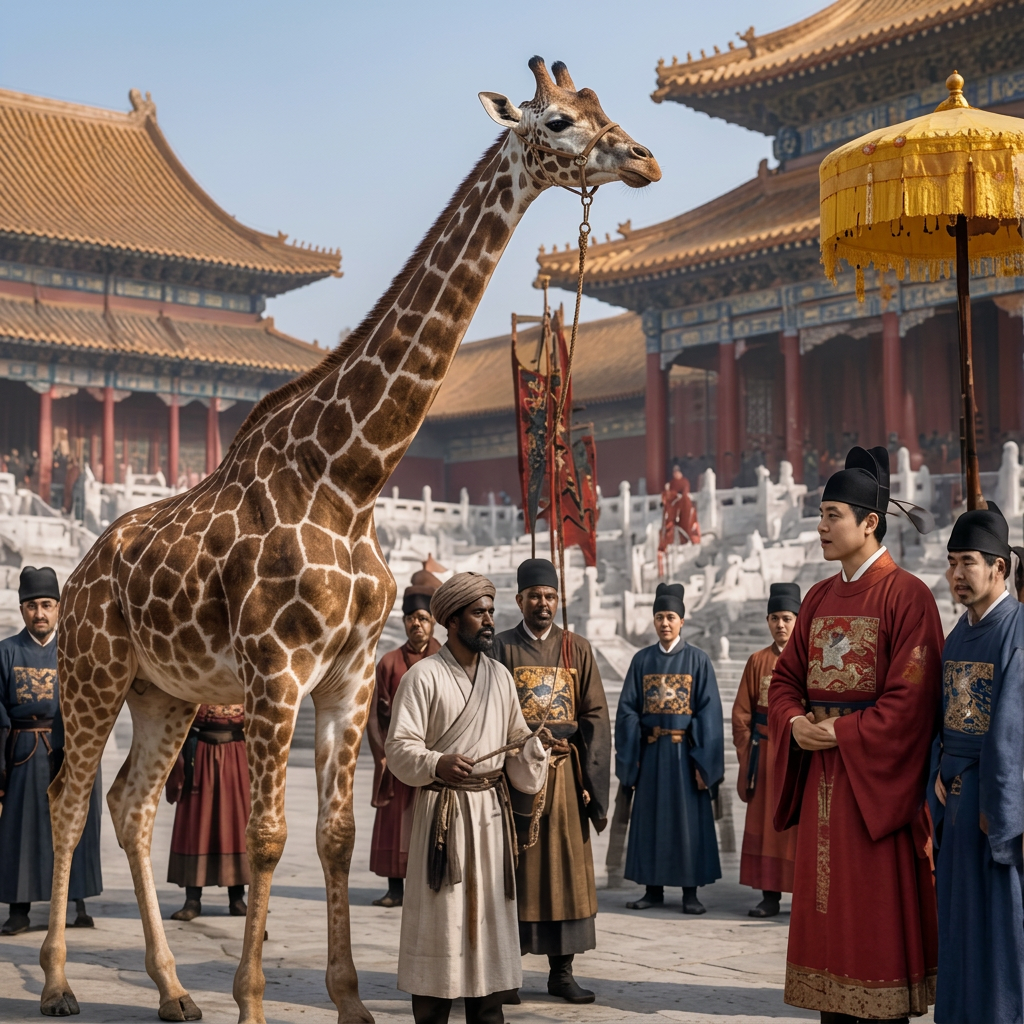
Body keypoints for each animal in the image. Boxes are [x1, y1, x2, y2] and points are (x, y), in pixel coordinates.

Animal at [39, 56, 660, 1024]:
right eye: (558, 120)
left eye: (604, 107)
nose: (642, 160)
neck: (349, 476)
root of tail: (80, 573)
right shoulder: (275, 670)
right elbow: (266, 836)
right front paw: (253, 1002)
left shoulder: (349, 673)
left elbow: (332, 835)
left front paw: (351, 1001)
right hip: (93, 668)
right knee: (69, 800)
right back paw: (61, 983)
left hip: (164, 688)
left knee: (129, 804)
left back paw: (174, 990)